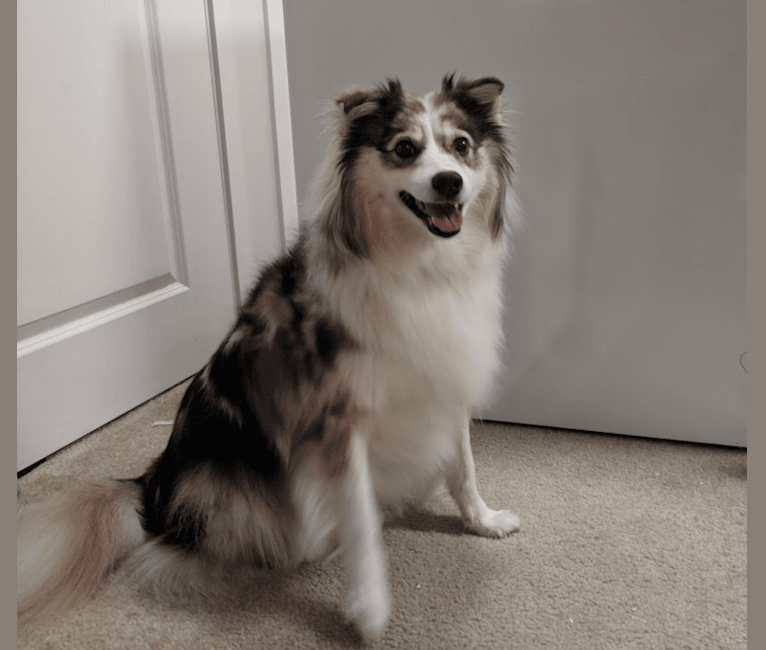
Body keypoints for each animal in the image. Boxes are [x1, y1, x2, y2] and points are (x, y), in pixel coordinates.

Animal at [16, 74, 520, 636]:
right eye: (405, 149)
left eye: (461, 146)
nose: (449, 183)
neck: (422, 268)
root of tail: (151, 488)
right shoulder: (338, 422)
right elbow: (361, 518)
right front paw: (369, 606)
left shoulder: (444, 379)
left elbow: (463, 467)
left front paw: (483, 520)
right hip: (227, 480)